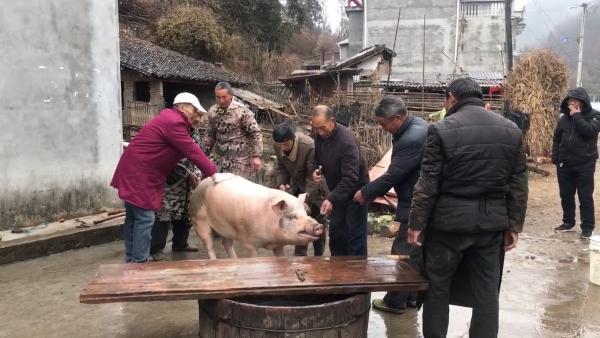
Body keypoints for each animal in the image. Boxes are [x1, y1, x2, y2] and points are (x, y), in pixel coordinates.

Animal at [190, 174, 326, 258]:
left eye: (306, 213)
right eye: (293, 216)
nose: (318, 225)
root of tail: (200, 183)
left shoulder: (278, 245)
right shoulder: (249, 243)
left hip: (225, 227)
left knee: (226, 243)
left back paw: (235, 260)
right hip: (199, 220)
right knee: (209, 244)